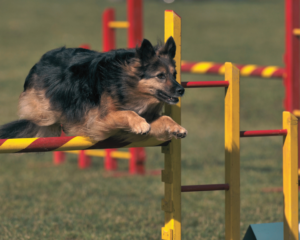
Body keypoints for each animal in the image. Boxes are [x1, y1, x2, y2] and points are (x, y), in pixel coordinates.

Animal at [0, 37, 188, 142]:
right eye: (160, 76)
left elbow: (164, 117)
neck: (124, 82)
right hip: (44, 108)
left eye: (174, 74)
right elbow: (126, 113)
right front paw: (140, 123)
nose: (181, 90)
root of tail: (40, 62)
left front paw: (176, 127)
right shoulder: (99, 120)